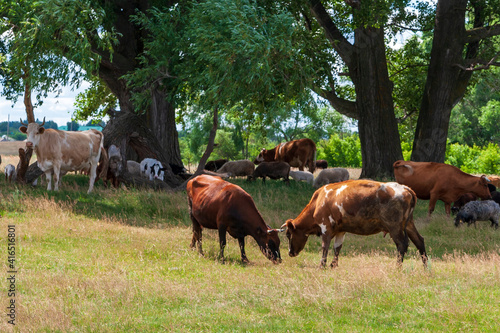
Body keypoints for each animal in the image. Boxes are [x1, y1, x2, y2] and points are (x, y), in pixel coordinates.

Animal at [282, 179, 426, 268]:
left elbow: (325, 247)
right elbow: (337, 247)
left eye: (288, 235)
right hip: (409, 224)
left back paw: (398, 268)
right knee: (419, 241)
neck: (318, 201)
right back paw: (426, 268)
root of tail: (405, 188)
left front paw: (322, 265)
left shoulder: (325, 227)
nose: (290, 252)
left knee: (401, 244)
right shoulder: (340, 230)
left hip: (394, 227)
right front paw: (333, 265)